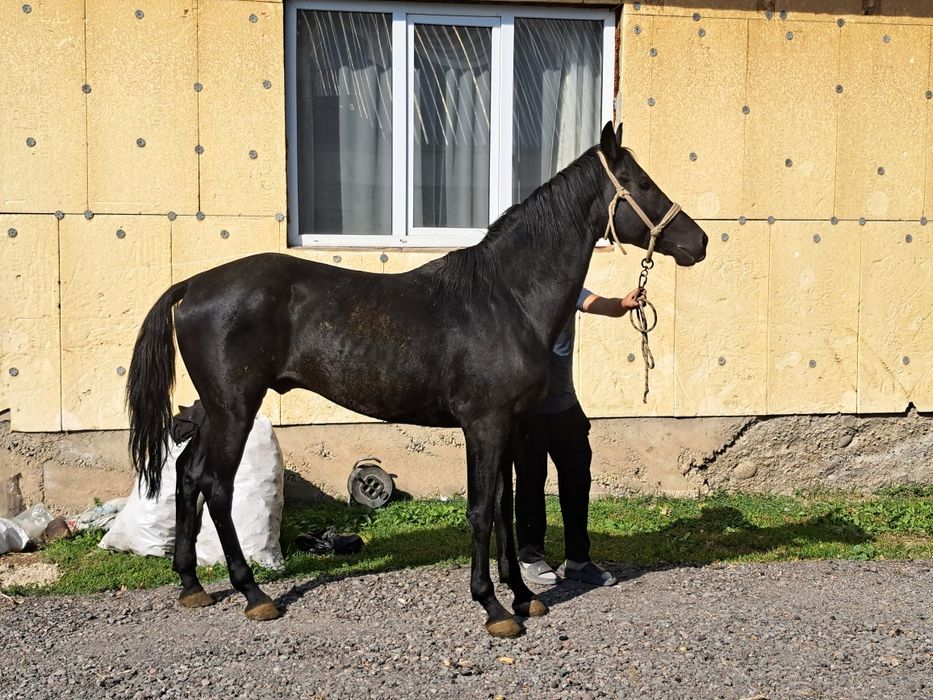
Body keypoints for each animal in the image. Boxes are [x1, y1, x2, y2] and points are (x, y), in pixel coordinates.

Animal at [126, 121, 708, 638]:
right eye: (642, 184)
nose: (699, 241)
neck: (504, 298)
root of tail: (195, 284)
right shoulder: (484, 425)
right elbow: (481, 510)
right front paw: (493, 607)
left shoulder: (510, 427)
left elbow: (504, 508)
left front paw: (523, 596)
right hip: (236, 407)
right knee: (215, 486)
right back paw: (253, 594)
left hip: (214, 409)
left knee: (187, 474)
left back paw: (191, 584)